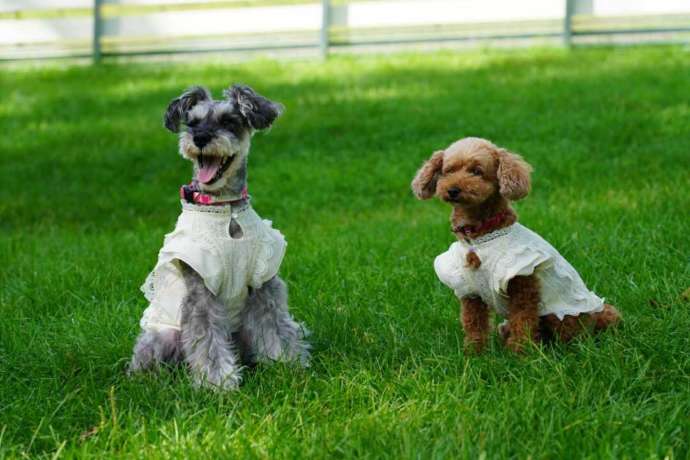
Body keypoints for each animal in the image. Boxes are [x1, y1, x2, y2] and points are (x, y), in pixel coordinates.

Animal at [128, 83, 310, 388]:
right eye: (192, 122)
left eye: (228, 121)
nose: (200, 137)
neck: (225, 212)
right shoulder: (200, 290)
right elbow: (206, 339)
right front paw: (218, 382)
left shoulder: (264, 281)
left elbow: (276, 325)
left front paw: (287, 363)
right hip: (163, 335)